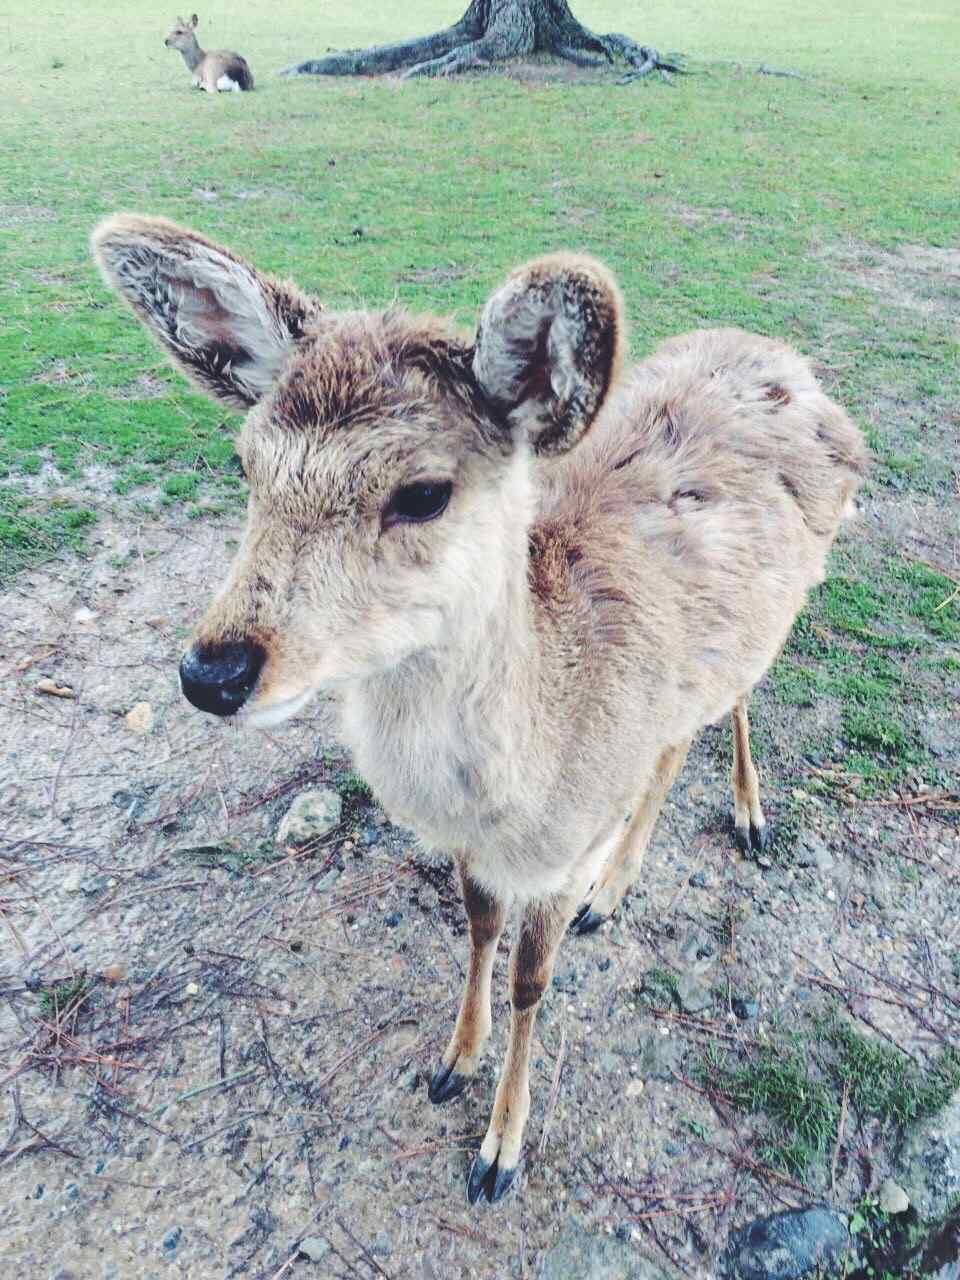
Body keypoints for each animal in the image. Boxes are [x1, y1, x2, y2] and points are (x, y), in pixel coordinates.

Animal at [92, 215, 870, 1203]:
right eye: (244, 463)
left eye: (424, 492)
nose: (213, 671)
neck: (516, 784)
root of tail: (791, 364)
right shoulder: (480, 847)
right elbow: (475, 926)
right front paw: (452, 1062)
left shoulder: (556, 849)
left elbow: (532, 983)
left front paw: (500, 1150)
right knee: (671, 744)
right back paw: (618, 884)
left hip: (789, 604)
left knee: (734, 702)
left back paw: (745, 817)